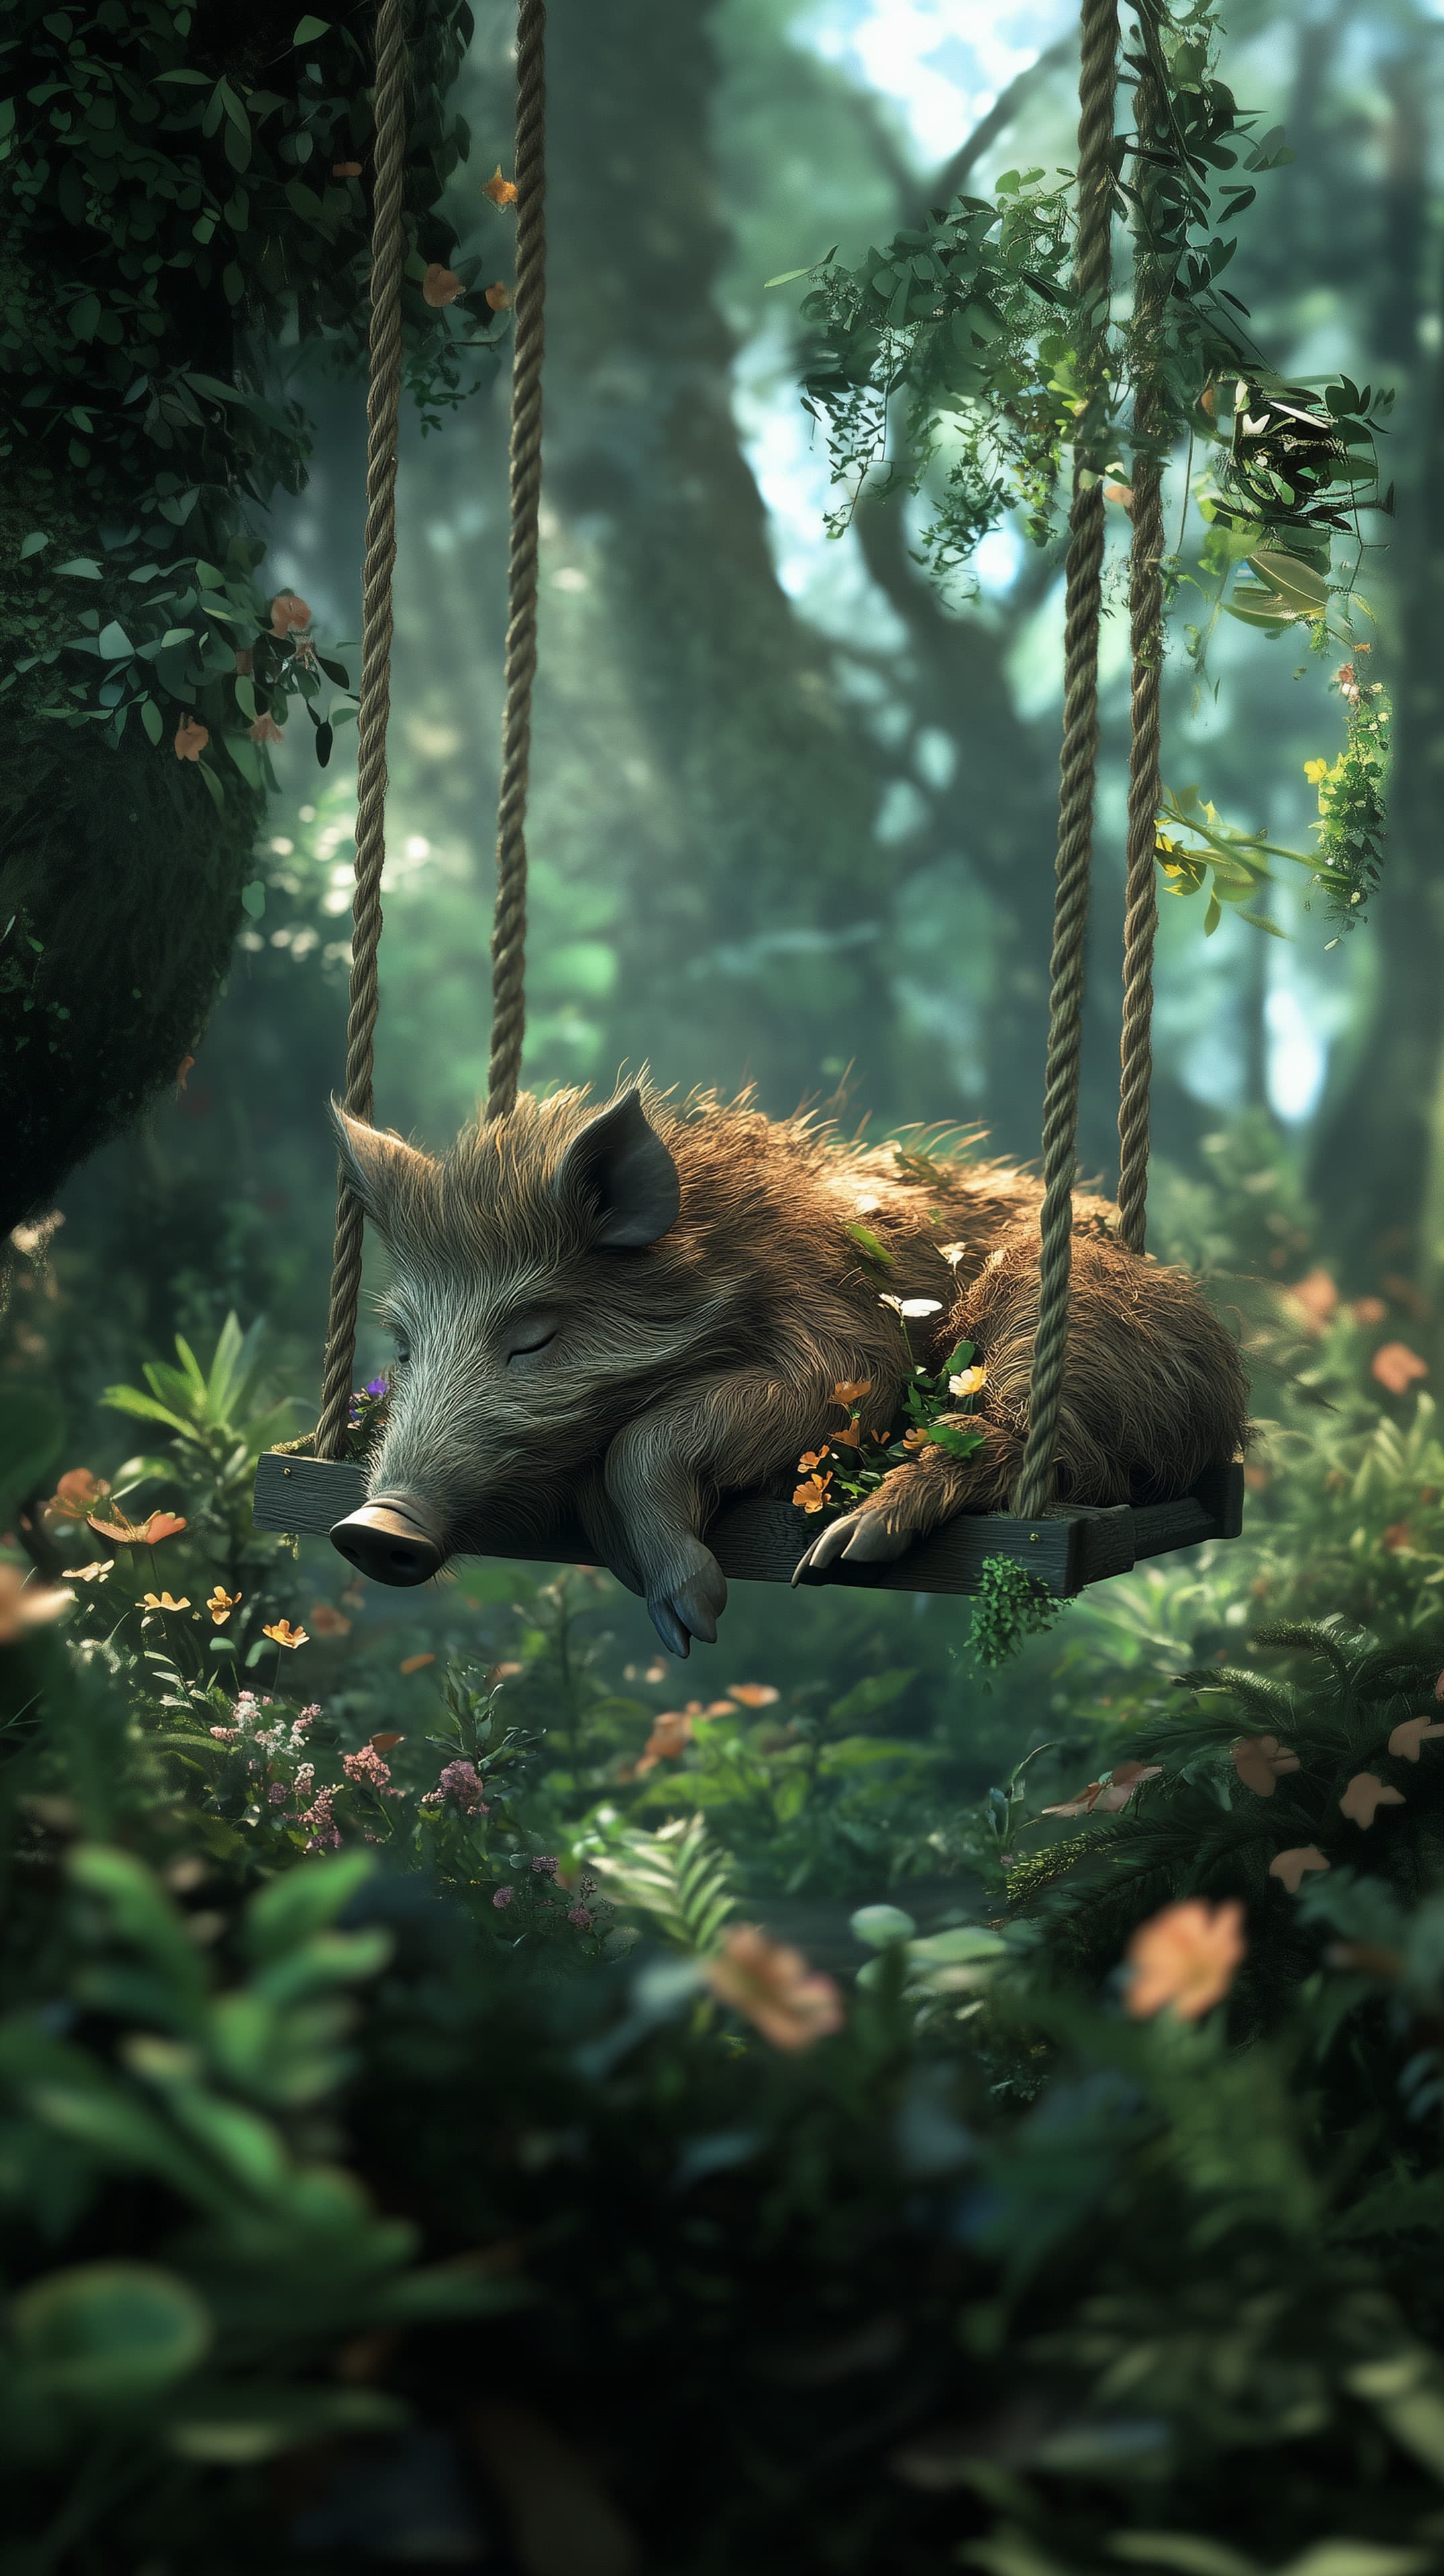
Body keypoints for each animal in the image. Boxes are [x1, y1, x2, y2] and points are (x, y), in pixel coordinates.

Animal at [328, 1082, 1248, 1655]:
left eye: (532, 1337)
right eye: (403, 1345)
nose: (372, 1529)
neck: (724, 1259)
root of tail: (1224, 1408)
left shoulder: (842, 1350)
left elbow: (650, 1441)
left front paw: (696, 1621)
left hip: (1058, 1315)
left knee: (1017, 1441)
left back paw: (849, 1544)